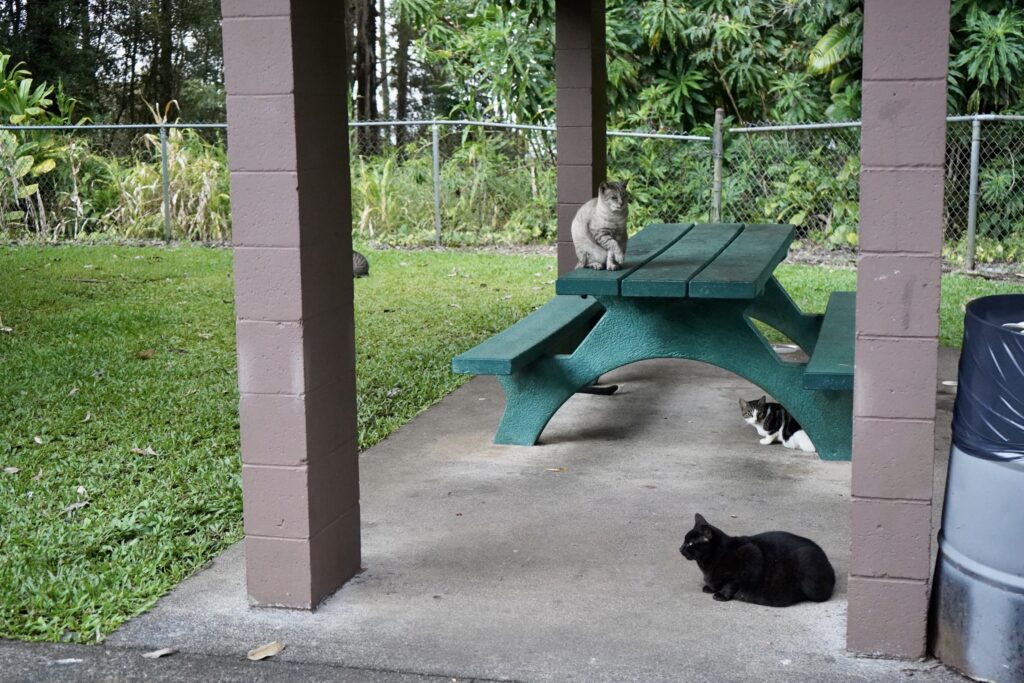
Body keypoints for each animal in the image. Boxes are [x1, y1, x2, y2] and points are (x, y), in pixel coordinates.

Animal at [675, 516, 835, 606]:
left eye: (690, 543)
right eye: (684, 541)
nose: (680, 548)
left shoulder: (751, 556)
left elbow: (731, 583)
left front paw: (721, 595)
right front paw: (711, 587)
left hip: (807, 564)